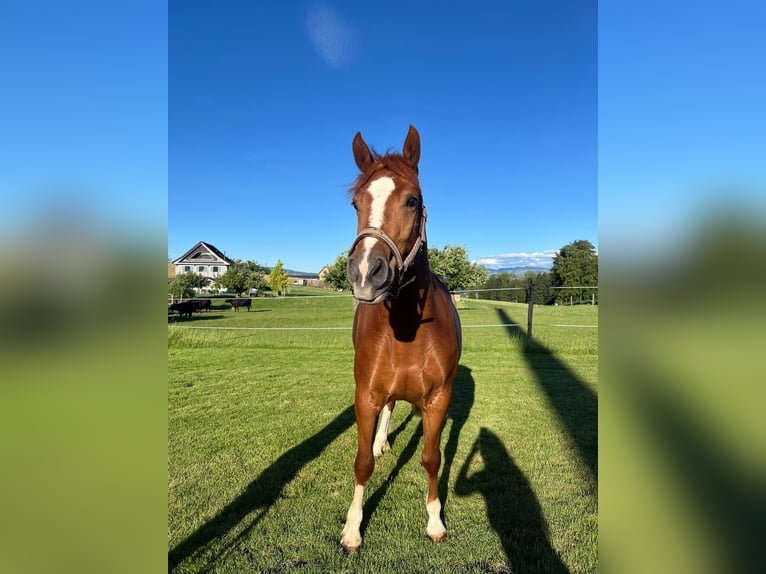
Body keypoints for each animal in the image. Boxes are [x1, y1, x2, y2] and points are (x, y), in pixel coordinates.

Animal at [340, 125, 462, 553]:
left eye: (413, 200)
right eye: (356, 203)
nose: (365, 273)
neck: (408, 330)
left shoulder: (439, 399)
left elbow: (431, 458)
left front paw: (435, 520)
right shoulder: (365, 395)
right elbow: (362, 462)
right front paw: (352, 529)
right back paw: (381, 441)